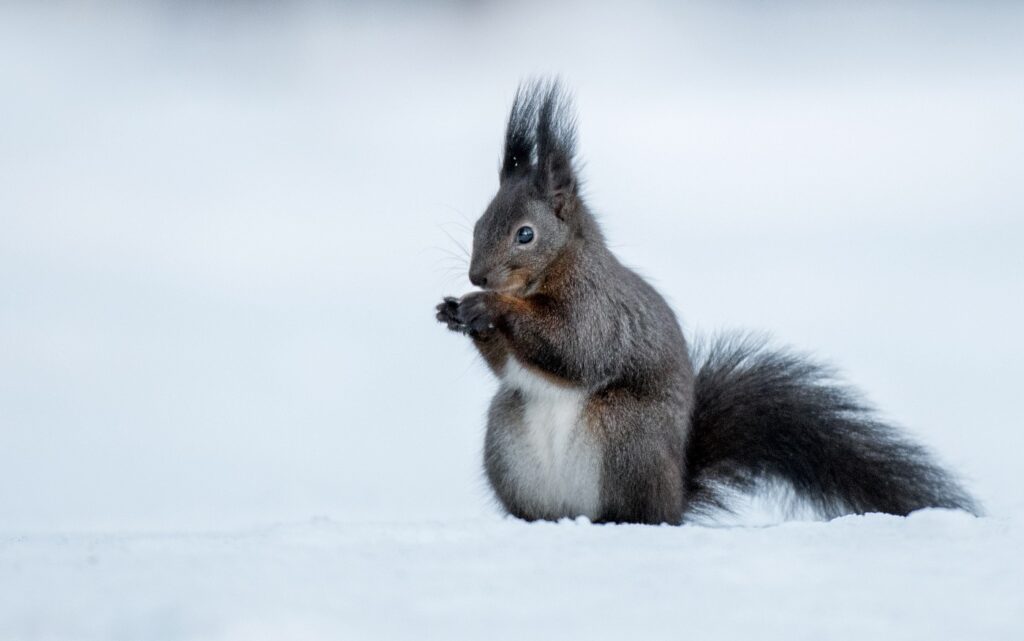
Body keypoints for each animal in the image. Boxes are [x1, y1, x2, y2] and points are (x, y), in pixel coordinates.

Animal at [432, 78, 974, 524]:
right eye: (479, 223)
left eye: (525, 234)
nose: (477, 275)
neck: (552, 271)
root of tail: (674, 497)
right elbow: (511, 366)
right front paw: (454, 311)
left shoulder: (597, 306)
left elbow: (576, 349)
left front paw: (488, 307)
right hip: (507, 439)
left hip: (626, 436)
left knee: (638, 513)